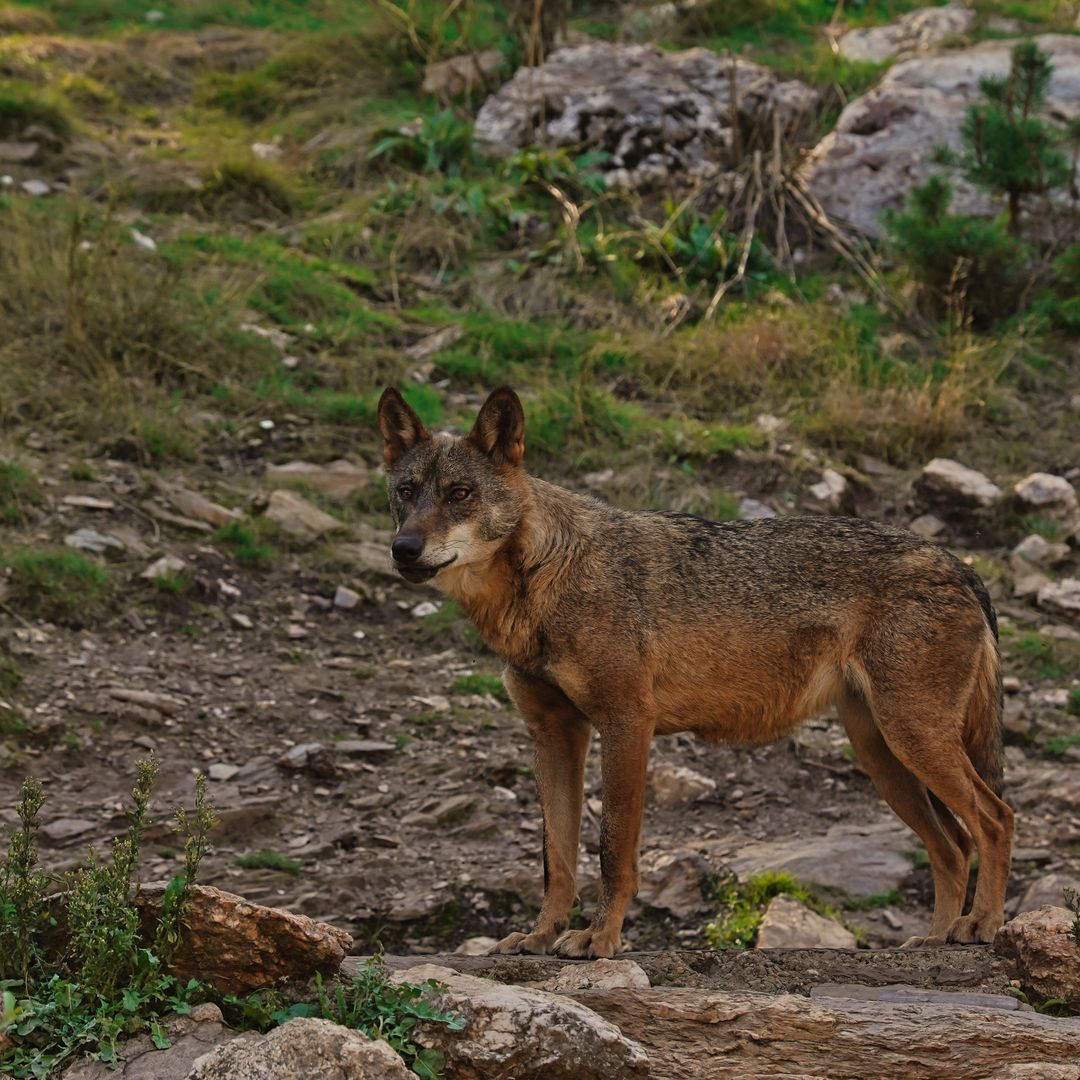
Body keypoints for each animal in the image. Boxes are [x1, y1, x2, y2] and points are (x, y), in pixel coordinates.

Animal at [377, 385, 1012, 959]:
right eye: (405, 492)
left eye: (460, 494)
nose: (403, 549)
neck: (544, 578)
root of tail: (960, 565)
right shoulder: (555, 735)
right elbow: (555, 858)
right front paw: (538, 938)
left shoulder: (626, 724)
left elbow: (613, 850)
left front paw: (599, 941)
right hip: (884, 756)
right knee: (954, 845)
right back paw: (934, 940)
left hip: (912, 742)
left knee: (995, 819)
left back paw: (980, 927)